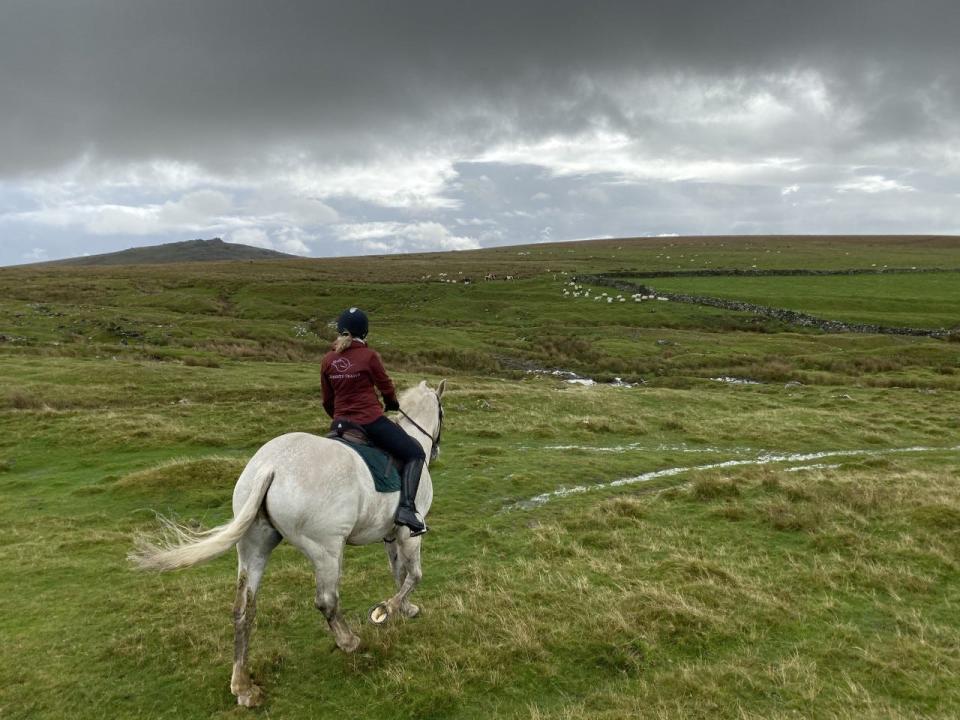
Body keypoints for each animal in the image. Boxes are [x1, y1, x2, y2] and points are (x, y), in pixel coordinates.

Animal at [130, 380, 446, 704]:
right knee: (327, 600)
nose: (435, 450)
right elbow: (414, 575)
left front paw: (404, 609)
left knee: (244, 608)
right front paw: (387, 610)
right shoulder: (410, 534)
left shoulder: (391, 535)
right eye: (442, 412)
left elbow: (399, 573)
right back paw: (349, 642)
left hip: (253, 548)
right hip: (327, 551)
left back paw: (243, 687)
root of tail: (271, 467)